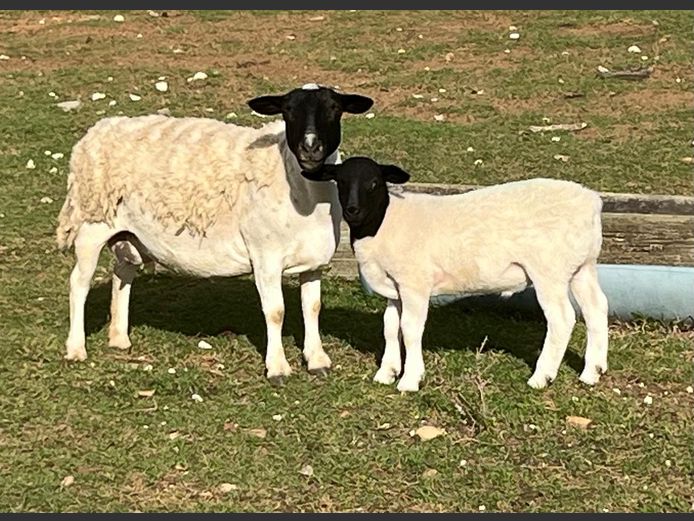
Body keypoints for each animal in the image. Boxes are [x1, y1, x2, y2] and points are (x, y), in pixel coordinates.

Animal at [55, 84, 373, 383]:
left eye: (334, 109)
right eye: (288, 111)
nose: (310, 147)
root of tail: (99, 129)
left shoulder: (314, 262)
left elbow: (313, 307)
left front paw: (317, 359)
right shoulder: (265, 257)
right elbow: (276, 311)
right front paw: (278, 368)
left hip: (127, 234)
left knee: (122, 274)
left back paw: (120, 338)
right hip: (91, 226)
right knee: (79, 283)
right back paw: (76, 348)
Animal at [301, 157, 609, 392]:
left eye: (374, 182)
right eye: (341, 182)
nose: (352, 210)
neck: (383, 223)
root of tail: (591, 201)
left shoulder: (415, 283)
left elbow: (410, 329)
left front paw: (410, 379)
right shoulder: (395, 287)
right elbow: (390, 327)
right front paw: (387, 372)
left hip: (549, 270)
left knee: (562, 319)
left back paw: (541, 376)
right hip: (582, 267)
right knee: (597, 308)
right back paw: (592, 372)